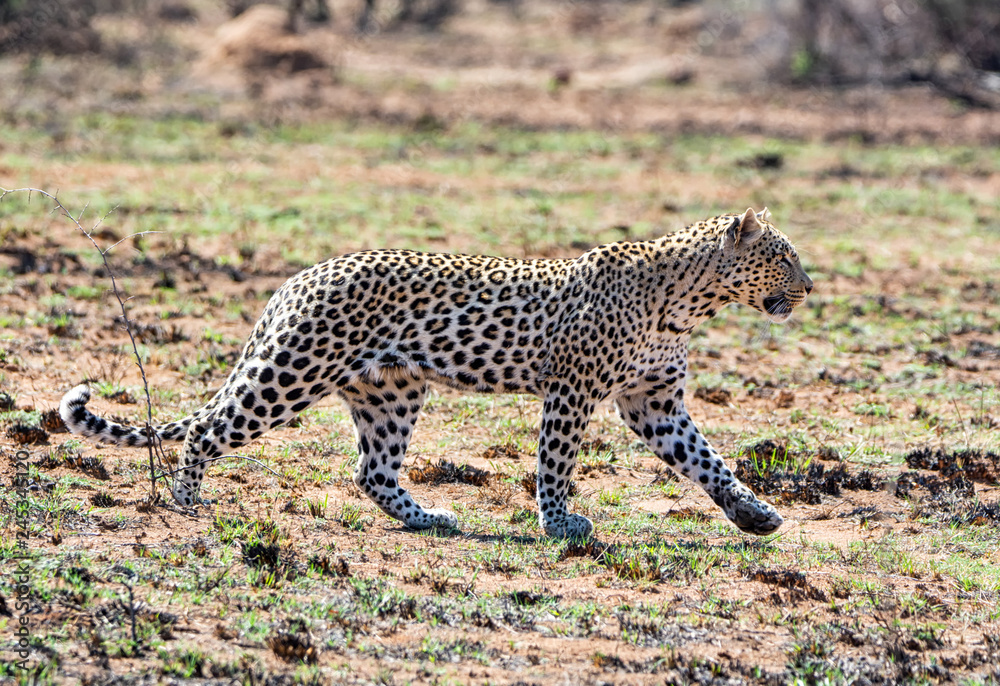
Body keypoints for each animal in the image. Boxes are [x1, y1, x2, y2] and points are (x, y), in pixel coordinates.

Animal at [60, 207, 812, 538]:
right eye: (784, 255)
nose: (810, 288)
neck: (688, 302)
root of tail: (297, 279)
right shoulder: (573, 391)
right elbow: (556, 463)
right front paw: (558, 522)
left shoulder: (653, 400)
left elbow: (707, 460)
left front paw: (754, 514)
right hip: (292, 372)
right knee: (208, 429)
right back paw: (188, 503)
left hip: (390, 390)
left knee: (372, 470)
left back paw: (429, 517)